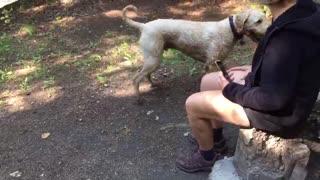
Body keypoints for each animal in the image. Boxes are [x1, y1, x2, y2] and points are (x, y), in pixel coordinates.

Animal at [122, 4, 270, 100]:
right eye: (258, 21)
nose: (269, 28)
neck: (229, 29)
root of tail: (144, 26)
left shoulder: (219, 62)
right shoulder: (211, 64)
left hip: (153, 59)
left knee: (145, 75)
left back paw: (153, 85)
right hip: (153, 59)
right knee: (136, 78)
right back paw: (138, 97)